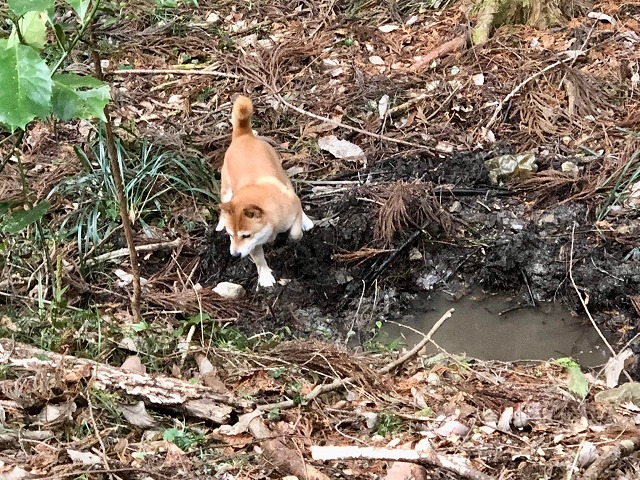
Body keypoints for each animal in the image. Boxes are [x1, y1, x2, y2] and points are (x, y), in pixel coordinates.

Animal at [216, 95, 313, 287]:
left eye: (246, 235)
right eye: (231, 235)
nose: (234, 254)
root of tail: (243, 136)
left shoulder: (290, 205)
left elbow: (296, 231)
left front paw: (294, 237)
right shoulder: (253, 245)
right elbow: (259, 260)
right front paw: (266, 277)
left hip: (284, 177)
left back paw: (306, 221)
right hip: (226, 189)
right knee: (224, 202)